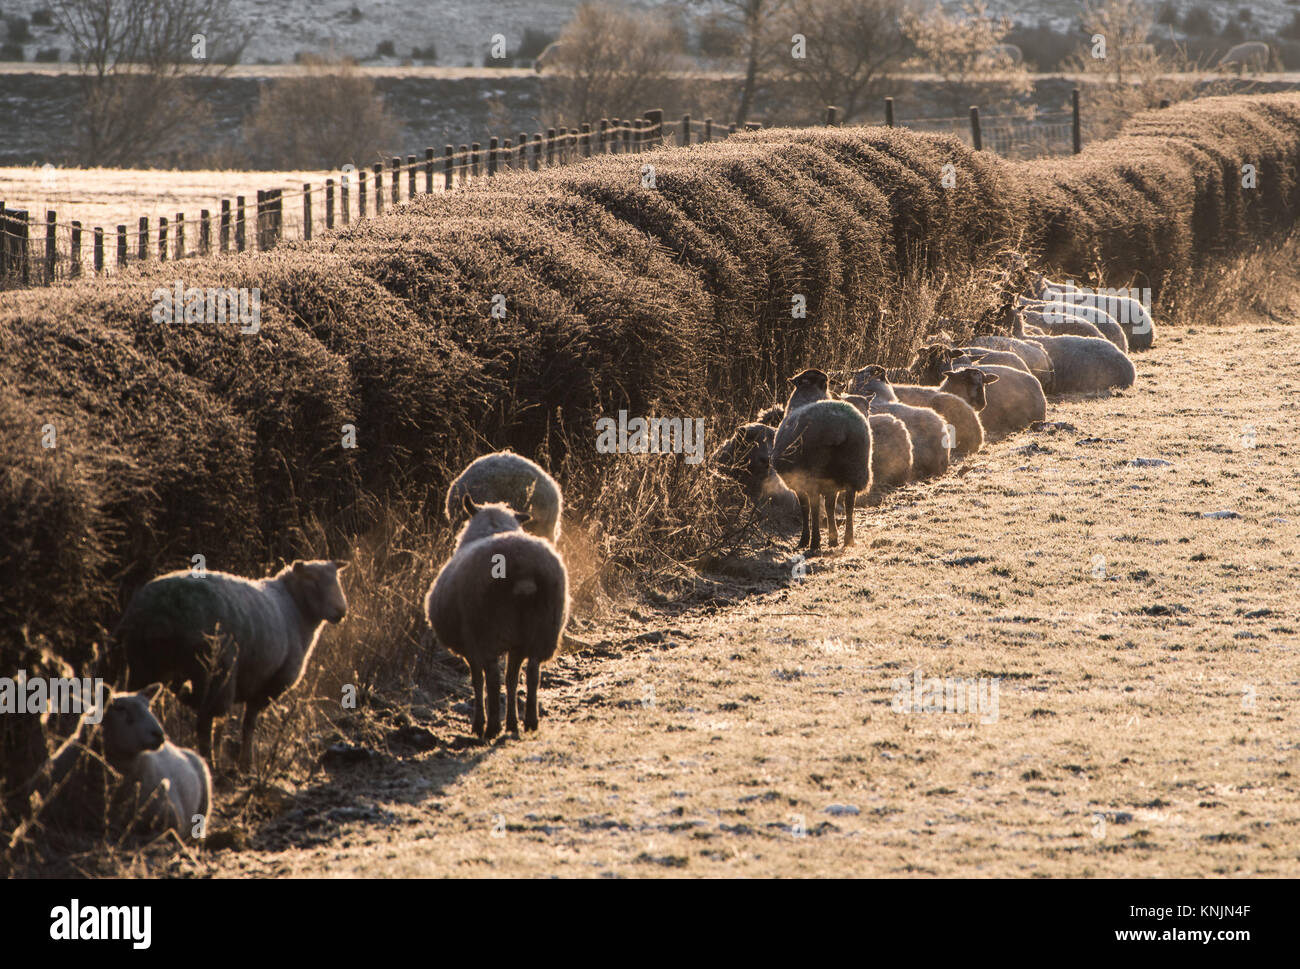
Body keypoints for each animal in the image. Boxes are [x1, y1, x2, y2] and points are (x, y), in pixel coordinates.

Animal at [115, 559, 348, 769]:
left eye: (337, 580)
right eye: (313, 582)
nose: (341, 611)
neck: (295, 608)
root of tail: (158, 611)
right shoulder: (270, 682)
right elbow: (248, 723)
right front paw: (246, 764)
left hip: (143, 666)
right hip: (215, 673)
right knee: (204, 723)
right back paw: (210, 764)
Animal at [426, 494, 569, 738]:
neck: (492, 527)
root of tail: (523, 574)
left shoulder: (471, 646)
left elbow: (478, 681)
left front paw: (480, 723)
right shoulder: (514, 645)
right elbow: (511, 679)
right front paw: (511, 722)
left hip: (487, 630)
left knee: (492, 679)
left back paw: (491, 727)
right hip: (542, 630)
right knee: (531, 673)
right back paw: (528, 721)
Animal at [769, 366, 873, 551]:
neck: (809, 394)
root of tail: (838, 428)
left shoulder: (798, 484)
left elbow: (806, 509)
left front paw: (805, 540)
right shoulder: (833, 484)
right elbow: (830, 507)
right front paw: (833, 539)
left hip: (813, 473)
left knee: (815, 507)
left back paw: (815, 542)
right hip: (855, 468)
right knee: (849, 505)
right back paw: (848, 539)